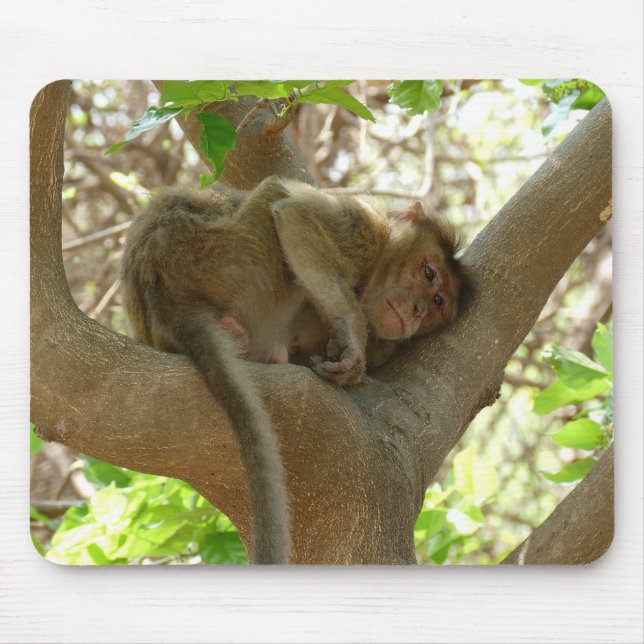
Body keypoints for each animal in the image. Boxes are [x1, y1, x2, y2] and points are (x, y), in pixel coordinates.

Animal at [120, 176, 469, 564]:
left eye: (438, 301)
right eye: (428, 273)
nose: (417, 309)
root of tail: (161, 287)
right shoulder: (363, 225)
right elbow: (294, 215)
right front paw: (354, 333)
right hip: (226, 255)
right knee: (275, 191)